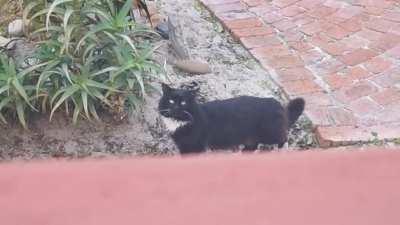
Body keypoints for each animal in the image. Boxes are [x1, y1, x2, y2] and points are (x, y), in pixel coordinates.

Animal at [158, 83, 304, 154]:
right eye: (171, 101)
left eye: (183, 103)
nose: (175, 107)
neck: (179, 122)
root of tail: (277, 103)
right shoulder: (183, 147)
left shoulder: (194, 146)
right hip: (251, 136)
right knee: (252, 146)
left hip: (269, 134)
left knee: (283, 137)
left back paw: (282, 149)